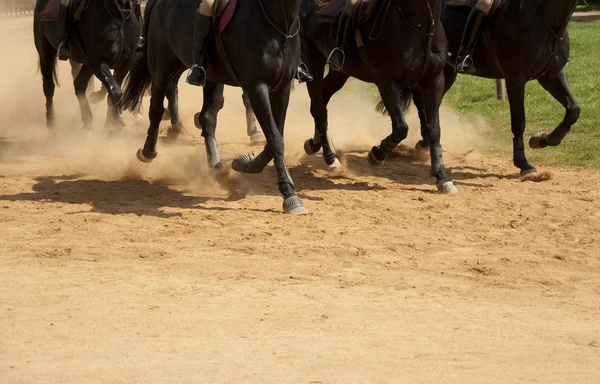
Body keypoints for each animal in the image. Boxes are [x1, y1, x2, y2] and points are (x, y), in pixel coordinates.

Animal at [34, 0, 142, 130]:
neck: (119, 13)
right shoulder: (96, 61)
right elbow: (115, 90)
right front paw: (117, 121)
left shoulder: (127, 61)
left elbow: (113, 90)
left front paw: (112, 123)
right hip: (46, 53)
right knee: (49, 86)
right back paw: (51, 123)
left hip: (86, 63)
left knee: (79, 84)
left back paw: (87, 122)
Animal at [122, 0, 310, 213]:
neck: (278, 23)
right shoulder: (257, 86)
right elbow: (276, 139)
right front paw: (289, 195)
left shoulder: (282, 88)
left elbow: (275, 137)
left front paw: (247, 163)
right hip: (162, 65)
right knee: (156, 108)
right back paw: (148, 152)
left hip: (208, 75)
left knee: (207, 118)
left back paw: (215, 164)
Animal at [298, 0, 458, 194]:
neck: (418, 26)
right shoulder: (386, 81)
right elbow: (401, 128)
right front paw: (377, 155)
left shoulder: (434, 81)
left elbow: (434, 129)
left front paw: (442, 177)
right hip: (312, 61)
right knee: (320, 108)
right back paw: (330, 157)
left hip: (340, 72)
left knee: (320, 103)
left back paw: (315, 143)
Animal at [412, 0, 580, 180]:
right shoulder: (515, 79)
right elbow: (519, 122)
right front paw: (523, 164)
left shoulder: (552, 75)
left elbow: (573, 110)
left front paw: (543, 140)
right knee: (420, 102)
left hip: (446, 73)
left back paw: (425, 141)